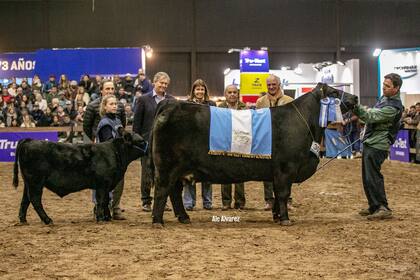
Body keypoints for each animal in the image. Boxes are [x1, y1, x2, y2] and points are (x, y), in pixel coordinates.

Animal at [12, 130, 148, 224]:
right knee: (35, 199)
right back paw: (47, 220)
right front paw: (101, 218)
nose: (148, 147)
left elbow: (105, 201)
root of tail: (29, 140)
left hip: (28, 182)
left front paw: (107, 217)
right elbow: (101, 200)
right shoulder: (102, 184)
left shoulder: (107, 184)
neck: (115, 153)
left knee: (25, 200)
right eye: (141, 141)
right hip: (36, 181)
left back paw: (23, 220)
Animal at [148, 82, 358, 226]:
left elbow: (276, 195)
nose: (355, 97)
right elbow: (283, 194)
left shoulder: (277, 173)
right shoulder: (286, 168)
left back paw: (184, 217)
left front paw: (277, 216)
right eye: (333, 93)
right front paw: (285, 219)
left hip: (177, 170)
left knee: (174, 192)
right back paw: (158, 220)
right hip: (167, 166)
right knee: (163, 190)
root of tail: (171, 103)